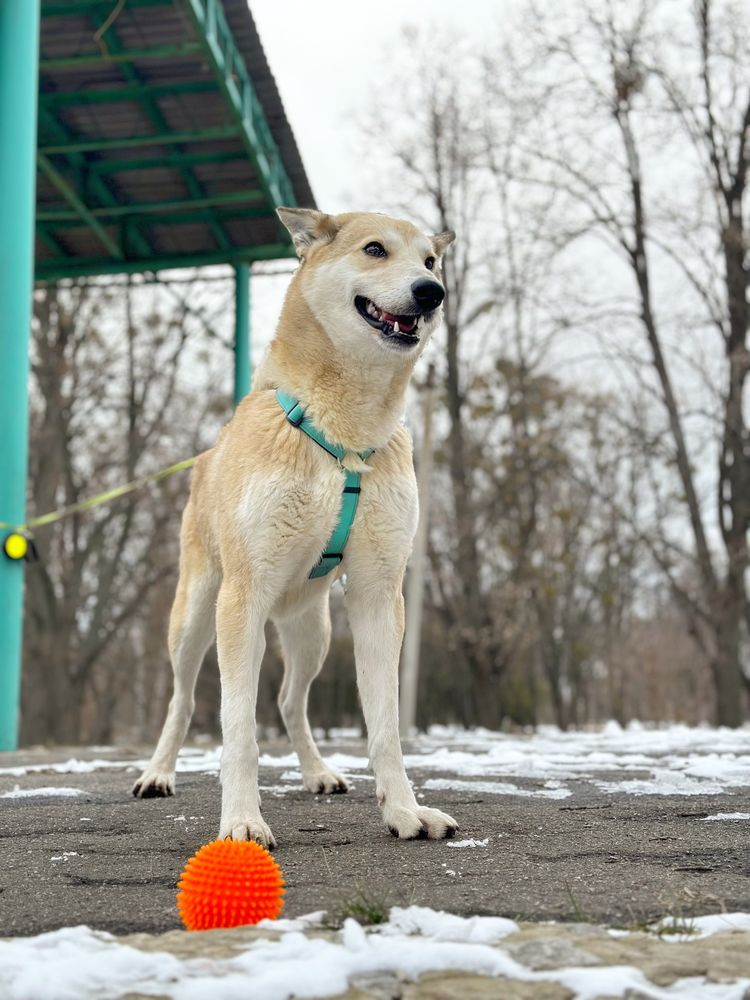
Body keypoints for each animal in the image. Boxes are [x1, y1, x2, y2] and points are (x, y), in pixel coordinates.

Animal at [135, 207, 462, 848]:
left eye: (431, 261)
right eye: (375, 249)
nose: (431, 293)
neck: (346, 433)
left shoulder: (379, 594)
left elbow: (385, 726)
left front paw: (404, 811)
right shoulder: (243, 597)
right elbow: (237, 728)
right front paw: (241, 820)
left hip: (313, 631)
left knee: (290, 700)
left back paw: (316, 773)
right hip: (196, 616)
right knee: (182, 699)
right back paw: (158, 773)